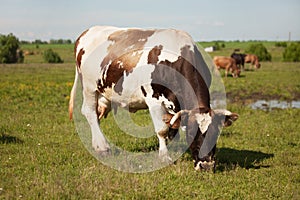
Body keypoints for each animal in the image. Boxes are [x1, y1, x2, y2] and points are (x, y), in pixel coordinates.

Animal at [68, 25, 239, 171]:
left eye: (216, 133)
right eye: (192, 133)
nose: (207, 165)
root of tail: (86, 32)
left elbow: (173, 128)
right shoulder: (154, 101)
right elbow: (162, 130)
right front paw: (164, 156)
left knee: (97, 114)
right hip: (89, 87)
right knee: (89, 112)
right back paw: (102, 147)